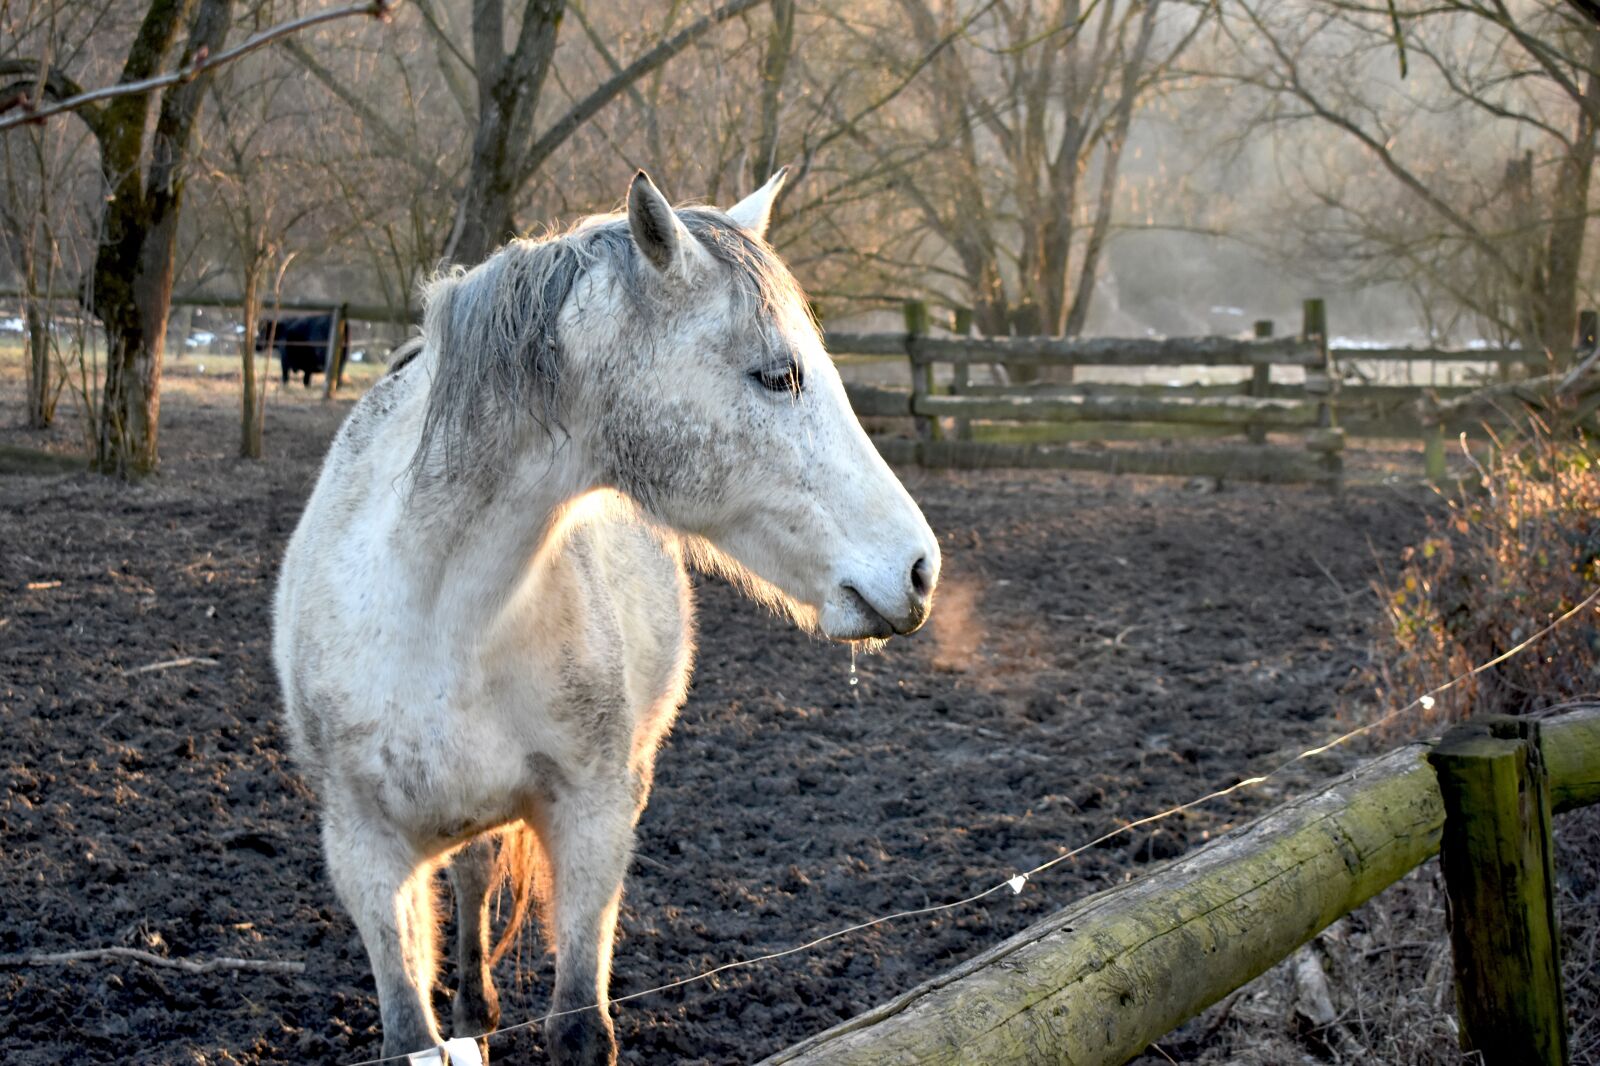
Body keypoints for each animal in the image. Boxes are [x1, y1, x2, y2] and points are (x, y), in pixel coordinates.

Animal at [272, 170, 940, 1065]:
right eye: (778, 376)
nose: (920, 569)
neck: (435, 616)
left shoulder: (592, 820)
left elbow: (580, 1025)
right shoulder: (363, 852)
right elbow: (407, 1030)